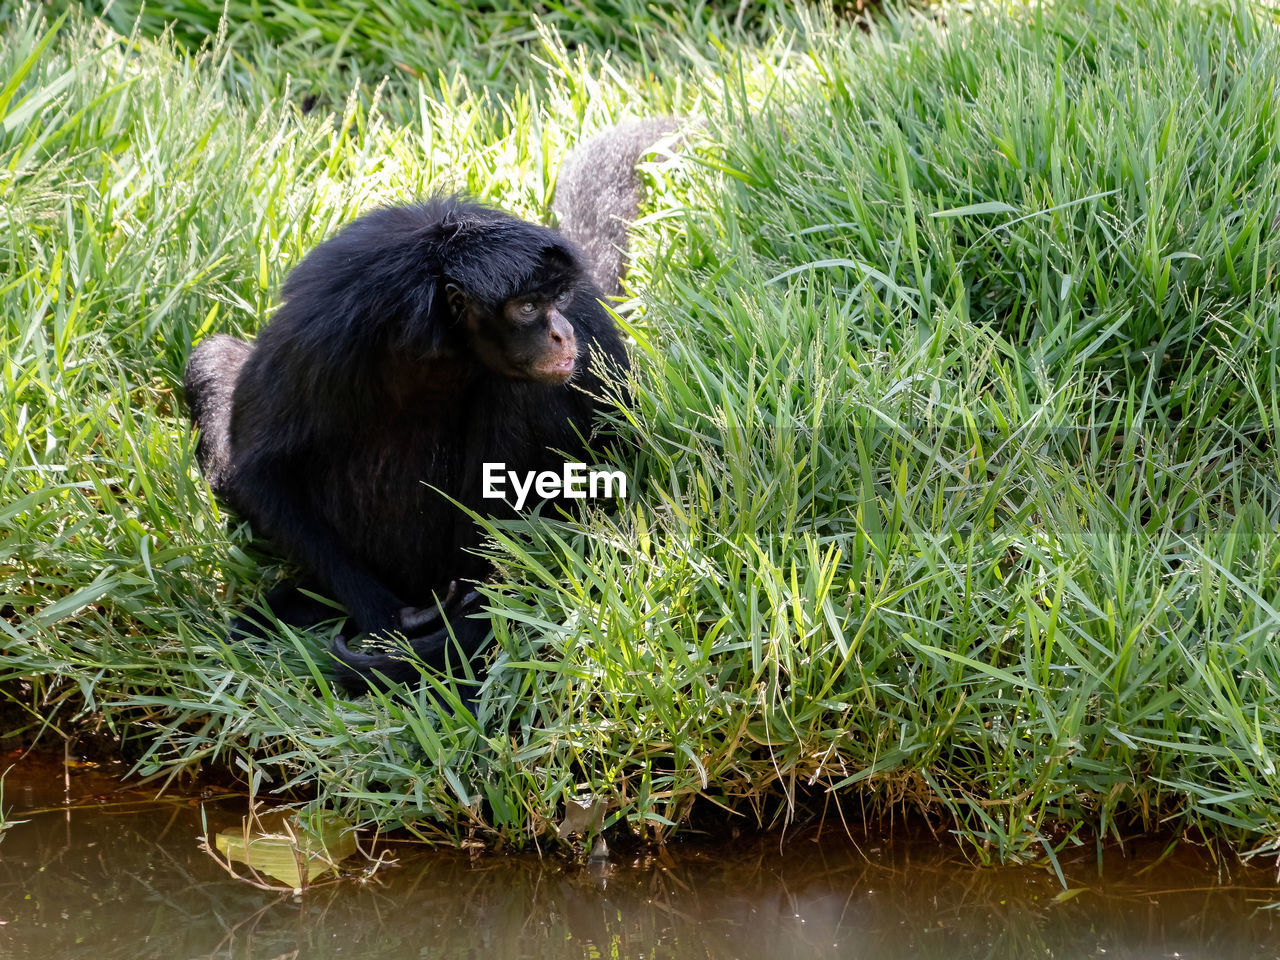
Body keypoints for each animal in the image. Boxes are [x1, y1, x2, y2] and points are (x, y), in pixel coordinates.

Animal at [185, 197, 629, 691]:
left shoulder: (585, 319)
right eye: (529, 307)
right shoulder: (329, 318)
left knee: (521, 391)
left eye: (560, 300)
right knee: (211, 358)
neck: (443, 335)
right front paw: (390, 622)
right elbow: (257, 472)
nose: (561, 332)